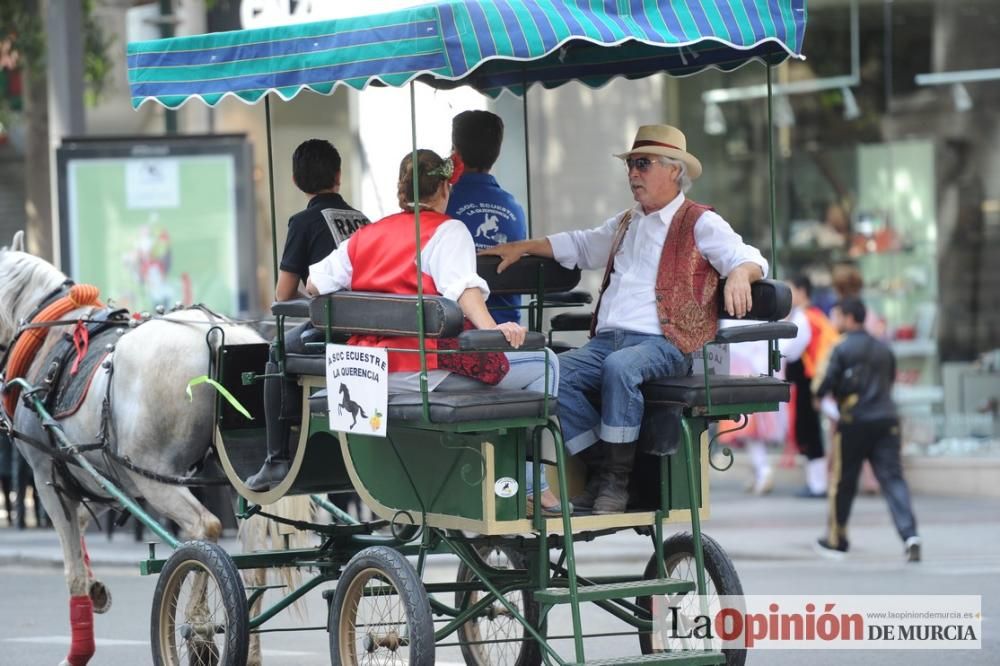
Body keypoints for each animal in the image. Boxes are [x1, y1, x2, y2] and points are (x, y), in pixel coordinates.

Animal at [0, 231, 270, 660]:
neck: (48, 336)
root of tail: (217, 336)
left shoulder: (47, 477)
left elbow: (71, 568)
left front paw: (79, 649)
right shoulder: (90, 475)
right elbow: (81, 527)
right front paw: (96, 587)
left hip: (153, 477)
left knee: (204, 532)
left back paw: (198, 625)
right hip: (232, 476)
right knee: (256, 555)